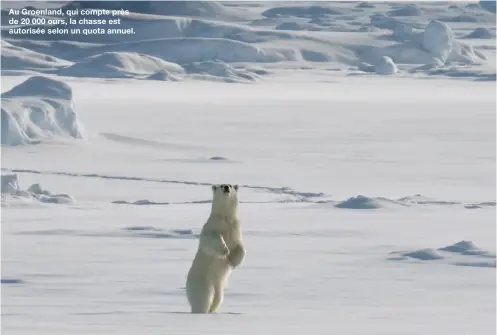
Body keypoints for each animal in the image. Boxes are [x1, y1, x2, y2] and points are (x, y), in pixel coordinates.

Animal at [186, 184, 246, 316]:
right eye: (221, 185)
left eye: (231, 185)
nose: (226, 188)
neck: (225, 217)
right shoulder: (212, 225)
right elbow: (211, 237)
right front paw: (224, 250)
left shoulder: (236, 229)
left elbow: (240, 245)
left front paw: (233, 261)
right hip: (202, 281)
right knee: (204, 298)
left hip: (219, 286)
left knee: (217, 300)